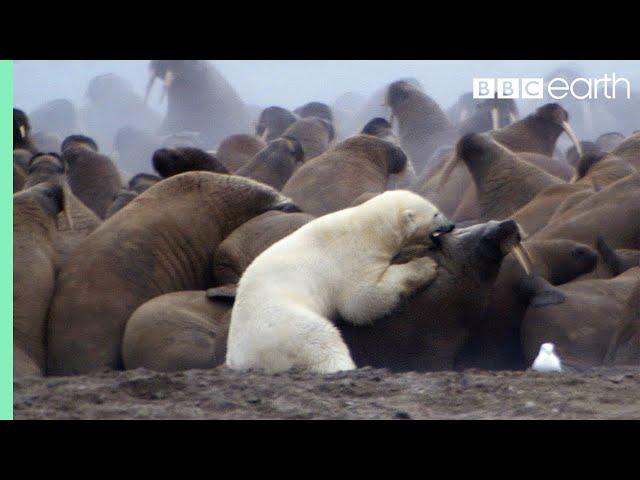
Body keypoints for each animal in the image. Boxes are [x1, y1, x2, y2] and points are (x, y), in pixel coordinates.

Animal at [225, 189, 456, 374]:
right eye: (436, 213)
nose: (451, 225)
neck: (368, 228)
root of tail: (241, 359)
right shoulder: (351, 256)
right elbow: (359, 302)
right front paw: (426, 265)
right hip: (281, 325)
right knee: (320, 338)